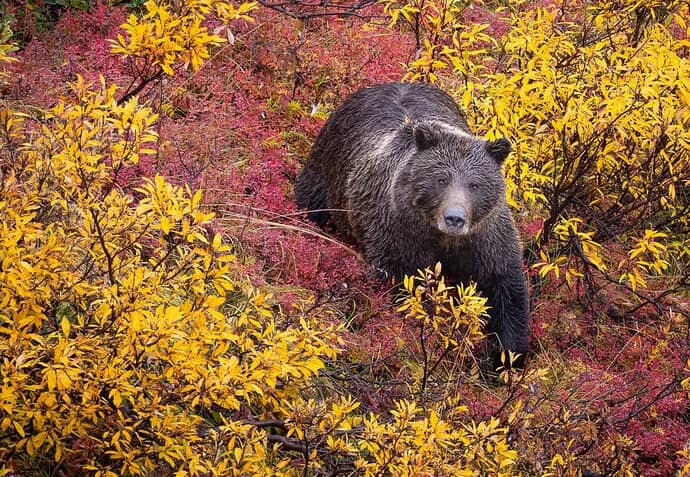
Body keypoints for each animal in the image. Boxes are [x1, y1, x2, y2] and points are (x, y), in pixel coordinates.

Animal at [295, 81, 529, 365]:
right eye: (441, 179)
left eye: (475, 184)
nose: (454, 218)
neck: (442, 238)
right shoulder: (399, 232)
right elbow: (404, 284)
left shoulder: (485, 237)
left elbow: (504, 285)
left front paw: (508, 356)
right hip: (326, 169)